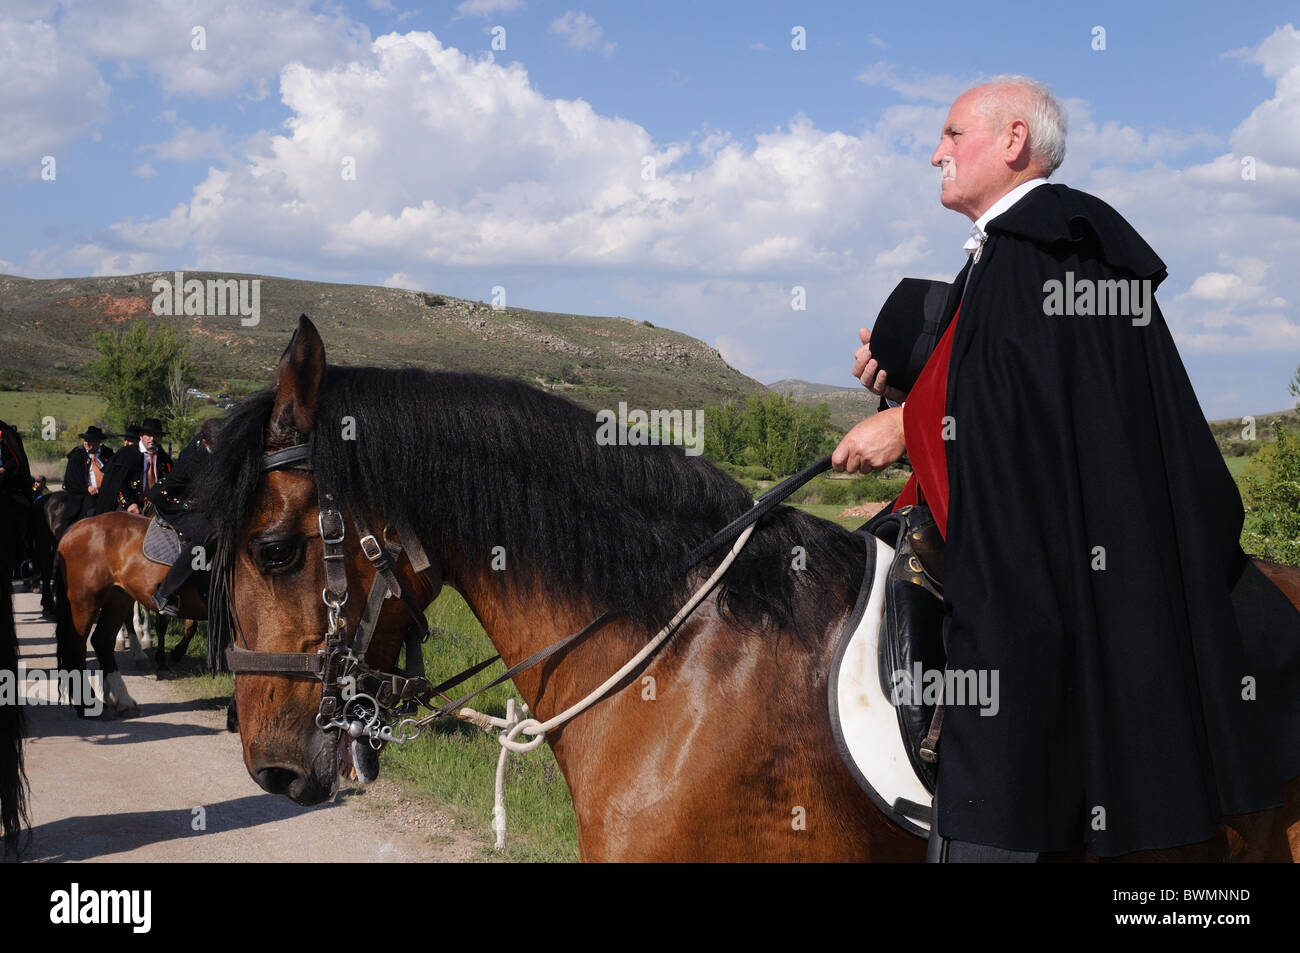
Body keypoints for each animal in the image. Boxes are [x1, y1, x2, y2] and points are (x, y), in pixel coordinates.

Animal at [56, 512, 206, 712]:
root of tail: (74, 528)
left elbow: (191, 627)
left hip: (117, 597)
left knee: (102, 640)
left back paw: (122, 698)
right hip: (85, 602)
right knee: (76, 644)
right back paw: (86, 703)